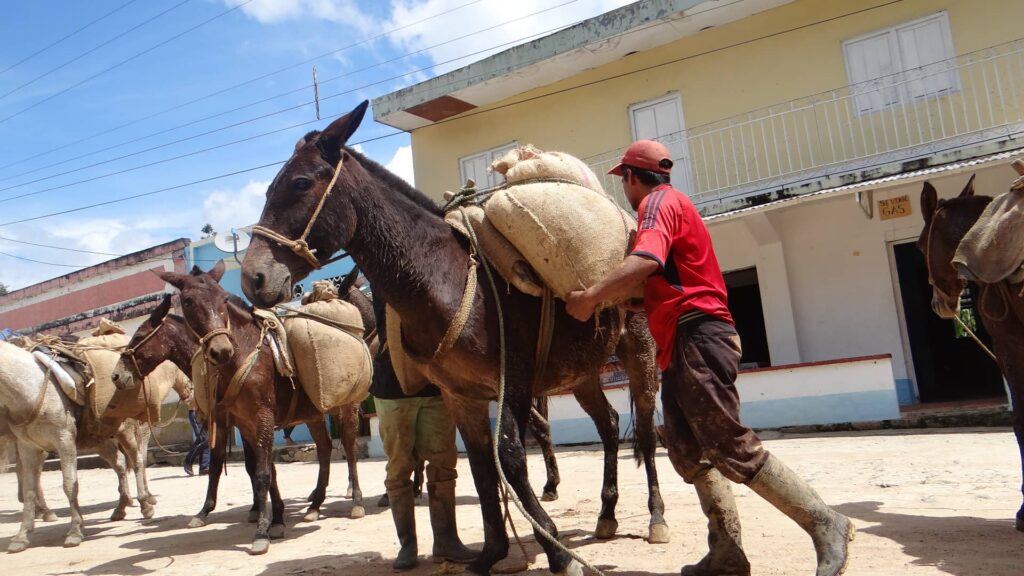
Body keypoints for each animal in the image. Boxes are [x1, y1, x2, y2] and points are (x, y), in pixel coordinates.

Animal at [241, 100, 671, 569]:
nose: (252, 279)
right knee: (609, 425)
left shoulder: (511, 384)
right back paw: (607, 514)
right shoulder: (461, 395)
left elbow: (510, 459)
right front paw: (493, 552)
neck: (444, 278)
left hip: (638, 353)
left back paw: (655, 518)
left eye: (300, 183)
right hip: (582, 372)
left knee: (645, 430)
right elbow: (482, 466)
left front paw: (556, 552)